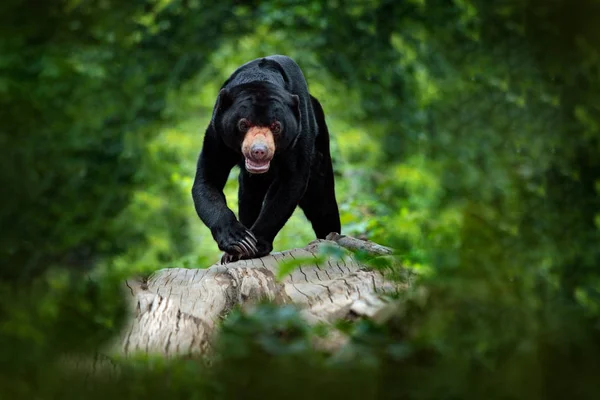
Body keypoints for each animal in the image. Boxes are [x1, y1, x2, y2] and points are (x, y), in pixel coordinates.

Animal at [193, 55, 342, 262]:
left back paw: (331, 237)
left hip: (320, 147)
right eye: (243, 124)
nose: (259, 151)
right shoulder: (217, 134)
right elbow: (208, 180)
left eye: (276, 126)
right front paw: (238, 242)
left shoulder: (299, 134)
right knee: (248, 197)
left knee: (321, 201)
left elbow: (289, 184)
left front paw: (254, 246)